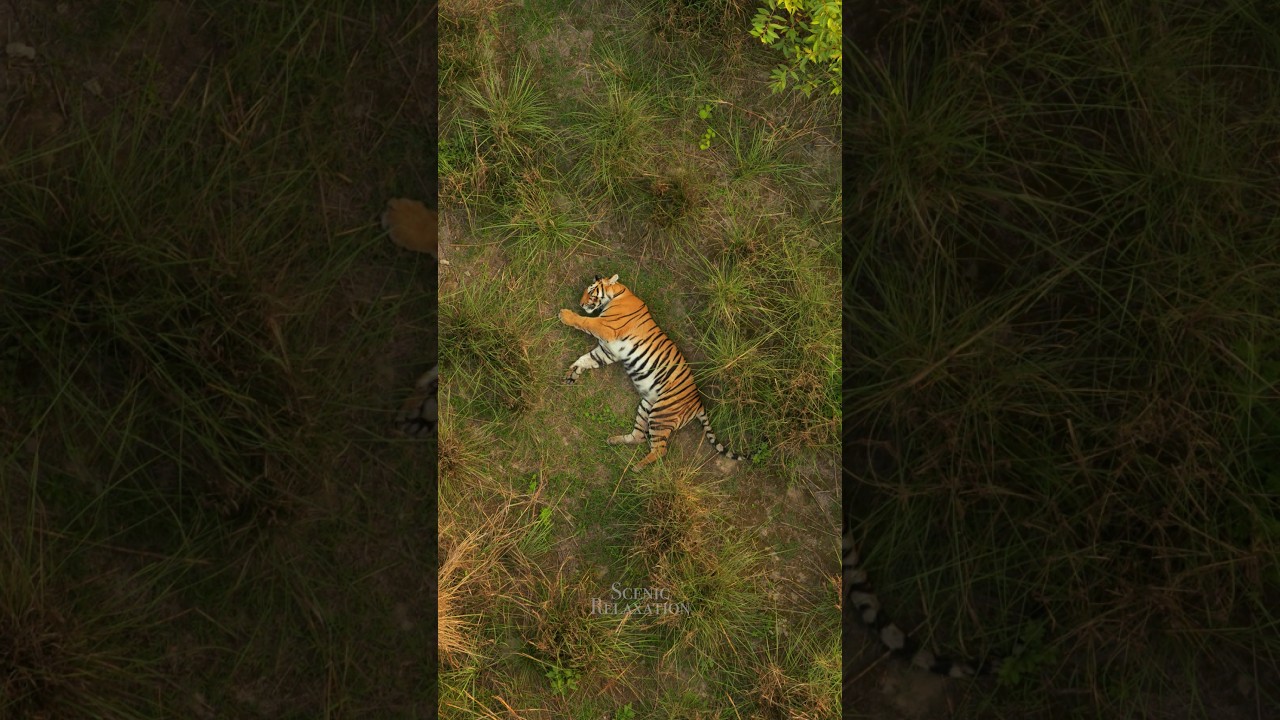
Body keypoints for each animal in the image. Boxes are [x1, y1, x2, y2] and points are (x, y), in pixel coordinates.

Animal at [559, 274, 747, 472]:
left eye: (591, 292)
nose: (581, 304)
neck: (617, 294)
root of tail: (699, 403)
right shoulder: (608, 351)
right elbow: (586, 359)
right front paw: (572, 374)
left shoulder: (607, 328)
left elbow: (585, 322)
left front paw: (564, 315)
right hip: (646, 407)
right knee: (639, 436)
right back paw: (614, 440)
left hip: (661, 414)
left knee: (660, 450)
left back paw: (636, 467)